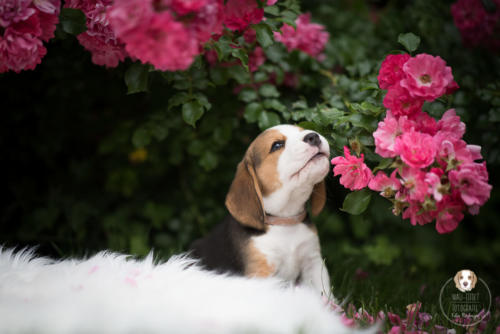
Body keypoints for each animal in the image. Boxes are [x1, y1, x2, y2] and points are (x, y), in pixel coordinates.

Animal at [191, 124, 332, 294]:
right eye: (277, 145)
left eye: (302, 130)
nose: (313, 136)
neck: (284, 221)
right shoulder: (261, 271)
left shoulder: (313, 262)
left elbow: (324, 293)